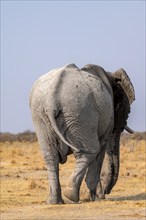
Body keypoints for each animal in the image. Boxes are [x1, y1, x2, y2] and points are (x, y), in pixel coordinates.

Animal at [29, 63, 135, 205]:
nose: (106, 192)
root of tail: (51, 101)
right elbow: (101, 150)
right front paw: (96, 198)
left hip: (41, 117)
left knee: (50, 156)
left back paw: (55, 202)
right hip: (80, 113)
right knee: (90, 151)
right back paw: (71, 196)